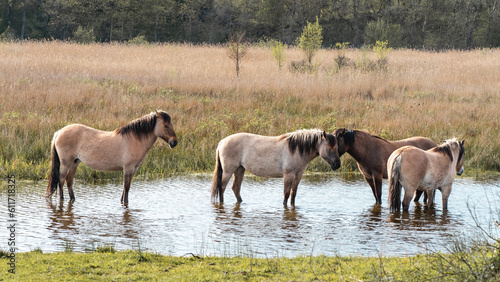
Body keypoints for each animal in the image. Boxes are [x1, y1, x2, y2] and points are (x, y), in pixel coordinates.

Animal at [45, 110, 178, 205]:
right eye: (166, 126)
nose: (174, 142)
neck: (135, 139)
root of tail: (59, 132)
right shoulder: (128, 168)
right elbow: (126, 187)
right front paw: (125, 203)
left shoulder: (133, 169)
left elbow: (125, 187)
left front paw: (122, 201)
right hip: (66, 163)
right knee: (61, 180)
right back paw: (62, 199)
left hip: (74, 163)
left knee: (69, 181)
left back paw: (72, 199)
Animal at [209, 129, 342, 206]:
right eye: (330, 147)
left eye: (337, 147)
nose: (337, 164)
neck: (296, 150)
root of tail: (222, 142)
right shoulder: (288, 175)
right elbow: (286, 194)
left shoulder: (298, 175)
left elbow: (293, 194)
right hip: (228, 171)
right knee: (222, 187)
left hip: (239, 170)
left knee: (235, 188)